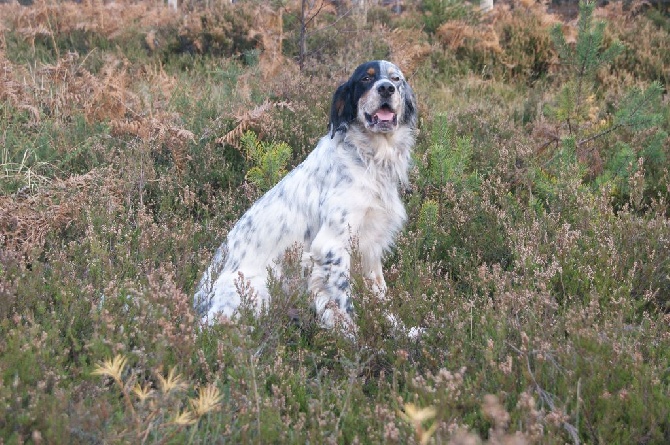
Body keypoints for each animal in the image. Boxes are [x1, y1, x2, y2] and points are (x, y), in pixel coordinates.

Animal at [193, 59, 420, 332]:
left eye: (396, 79)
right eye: (366, 78)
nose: (386, 88)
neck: (368, 158)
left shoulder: (371, 247)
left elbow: (381, 296)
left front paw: (402, 331)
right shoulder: (332, 247)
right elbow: (343, 304)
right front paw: (352, 339)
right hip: (256, 287)